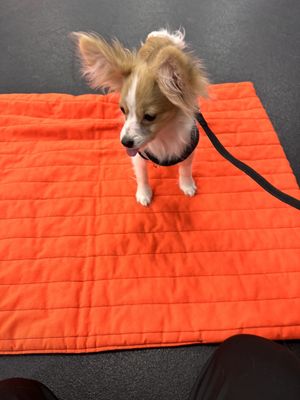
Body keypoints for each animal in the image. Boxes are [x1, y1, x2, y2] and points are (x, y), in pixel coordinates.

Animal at [74, 27, 207, 205]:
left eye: (150, 117)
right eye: (123, 110)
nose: (125, 142)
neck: (163, 134)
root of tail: (159, 37)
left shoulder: (188, 148)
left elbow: (185, 169)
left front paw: (187, 185)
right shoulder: (138, 156)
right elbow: (142, 176)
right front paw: (144, 194)